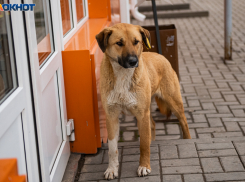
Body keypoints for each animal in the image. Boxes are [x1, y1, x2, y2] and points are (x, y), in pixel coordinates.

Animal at [95, 23, 191, 180]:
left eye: (136, 42)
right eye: (119, 43)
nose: (133, 61)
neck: (123, 76)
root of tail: (160, 55)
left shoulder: (142, 115)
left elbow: (144, 145)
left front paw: (144, 166)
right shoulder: (112, 116)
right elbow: (112, 148)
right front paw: (112, 169)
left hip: (173, 102)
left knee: (184, 122)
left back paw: (188, 140)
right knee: (153, 125)